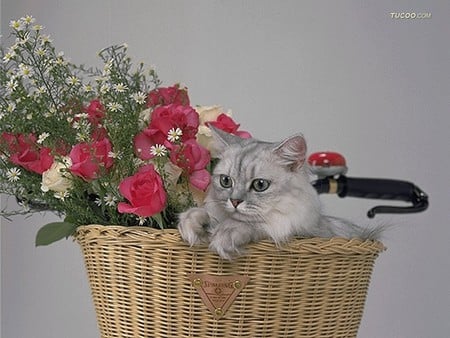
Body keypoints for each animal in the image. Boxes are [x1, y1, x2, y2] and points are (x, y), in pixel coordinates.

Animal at [178, 127, 382, 258]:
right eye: (226, 181)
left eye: (260, 185)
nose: (235, 201)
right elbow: (199, 215)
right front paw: (192, 224)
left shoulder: (305, 232)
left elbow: (259, 224)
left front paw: (225, 235)